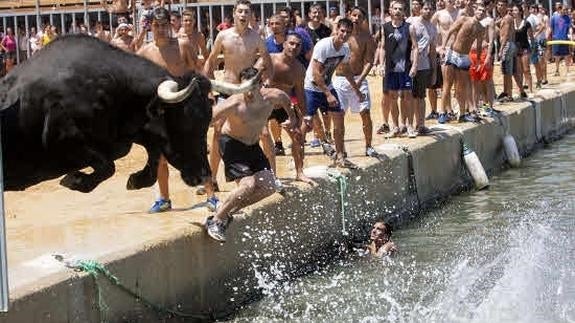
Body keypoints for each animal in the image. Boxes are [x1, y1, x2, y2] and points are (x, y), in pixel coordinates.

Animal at [0, 34, 213, 192]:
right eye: (185, 124)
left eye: (205, 123)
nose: (203, 175)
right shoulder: (63, 142)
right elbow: (107, 166)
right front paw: (75, 179)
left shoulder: (126, 135)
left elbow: (153, 154)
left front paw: (137, 180)